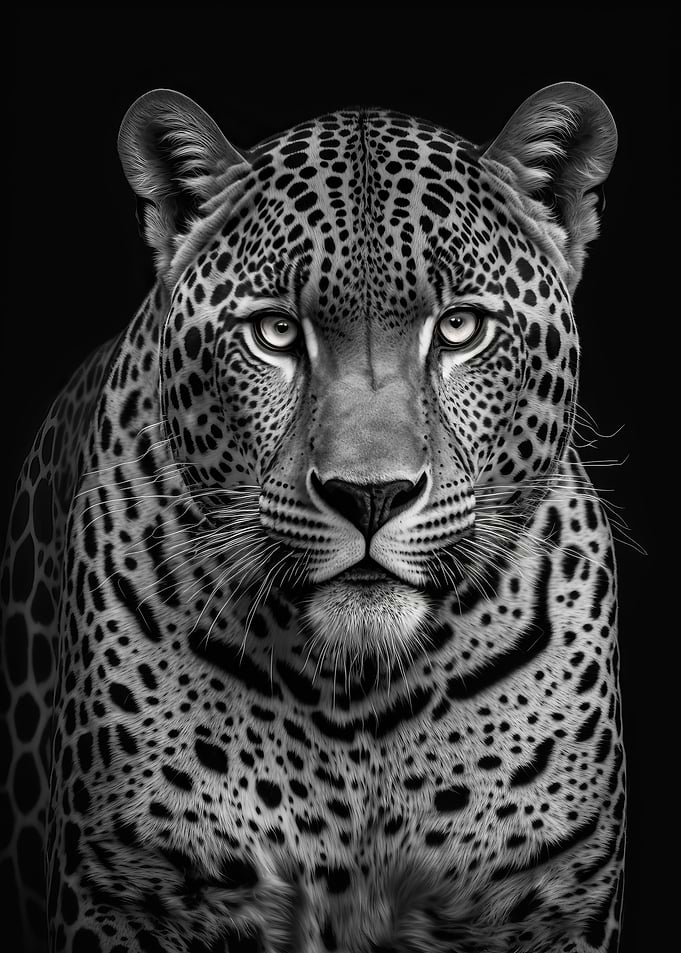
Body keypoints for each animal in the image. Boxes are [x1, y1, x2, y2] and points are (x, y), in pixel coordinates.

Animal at [1, 82, 625, 952]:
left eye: (460, 327)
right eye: (274, 332)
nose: (370, 495)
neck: (355, 698)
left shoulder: (553, 903)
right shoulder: (128, 896)